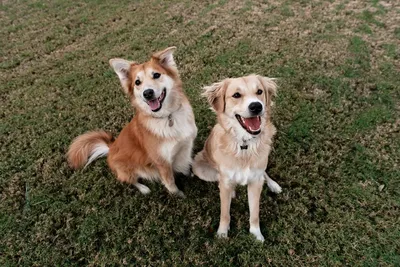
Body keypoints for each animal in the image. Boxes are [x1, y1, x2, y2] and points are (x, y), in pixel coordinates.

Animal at [68, 46, 198, 198]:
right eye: (137, 82)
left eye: (156, 75)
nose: (147, 93)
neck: (167, 116)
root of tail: (110, 148)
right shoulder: (162, 163)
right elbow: (170, 182)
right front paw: (179, 196)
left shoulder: (186, 146)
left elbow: (186, 165)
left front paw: (192, 175)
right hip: (126, 170)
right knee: (130, 180)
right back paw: (143, 188)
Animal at [193, 74, 282, 242]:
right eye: (236, 95)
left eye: (259, 91)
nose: (256, 106)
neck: (244, 145)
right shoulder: (225, 180)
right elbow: (224, 212)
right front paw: (222, 233)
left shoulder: (255, 181)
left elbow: (254, 212)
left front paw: (256, 234)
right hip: (198, 167)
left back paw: (273, 185)